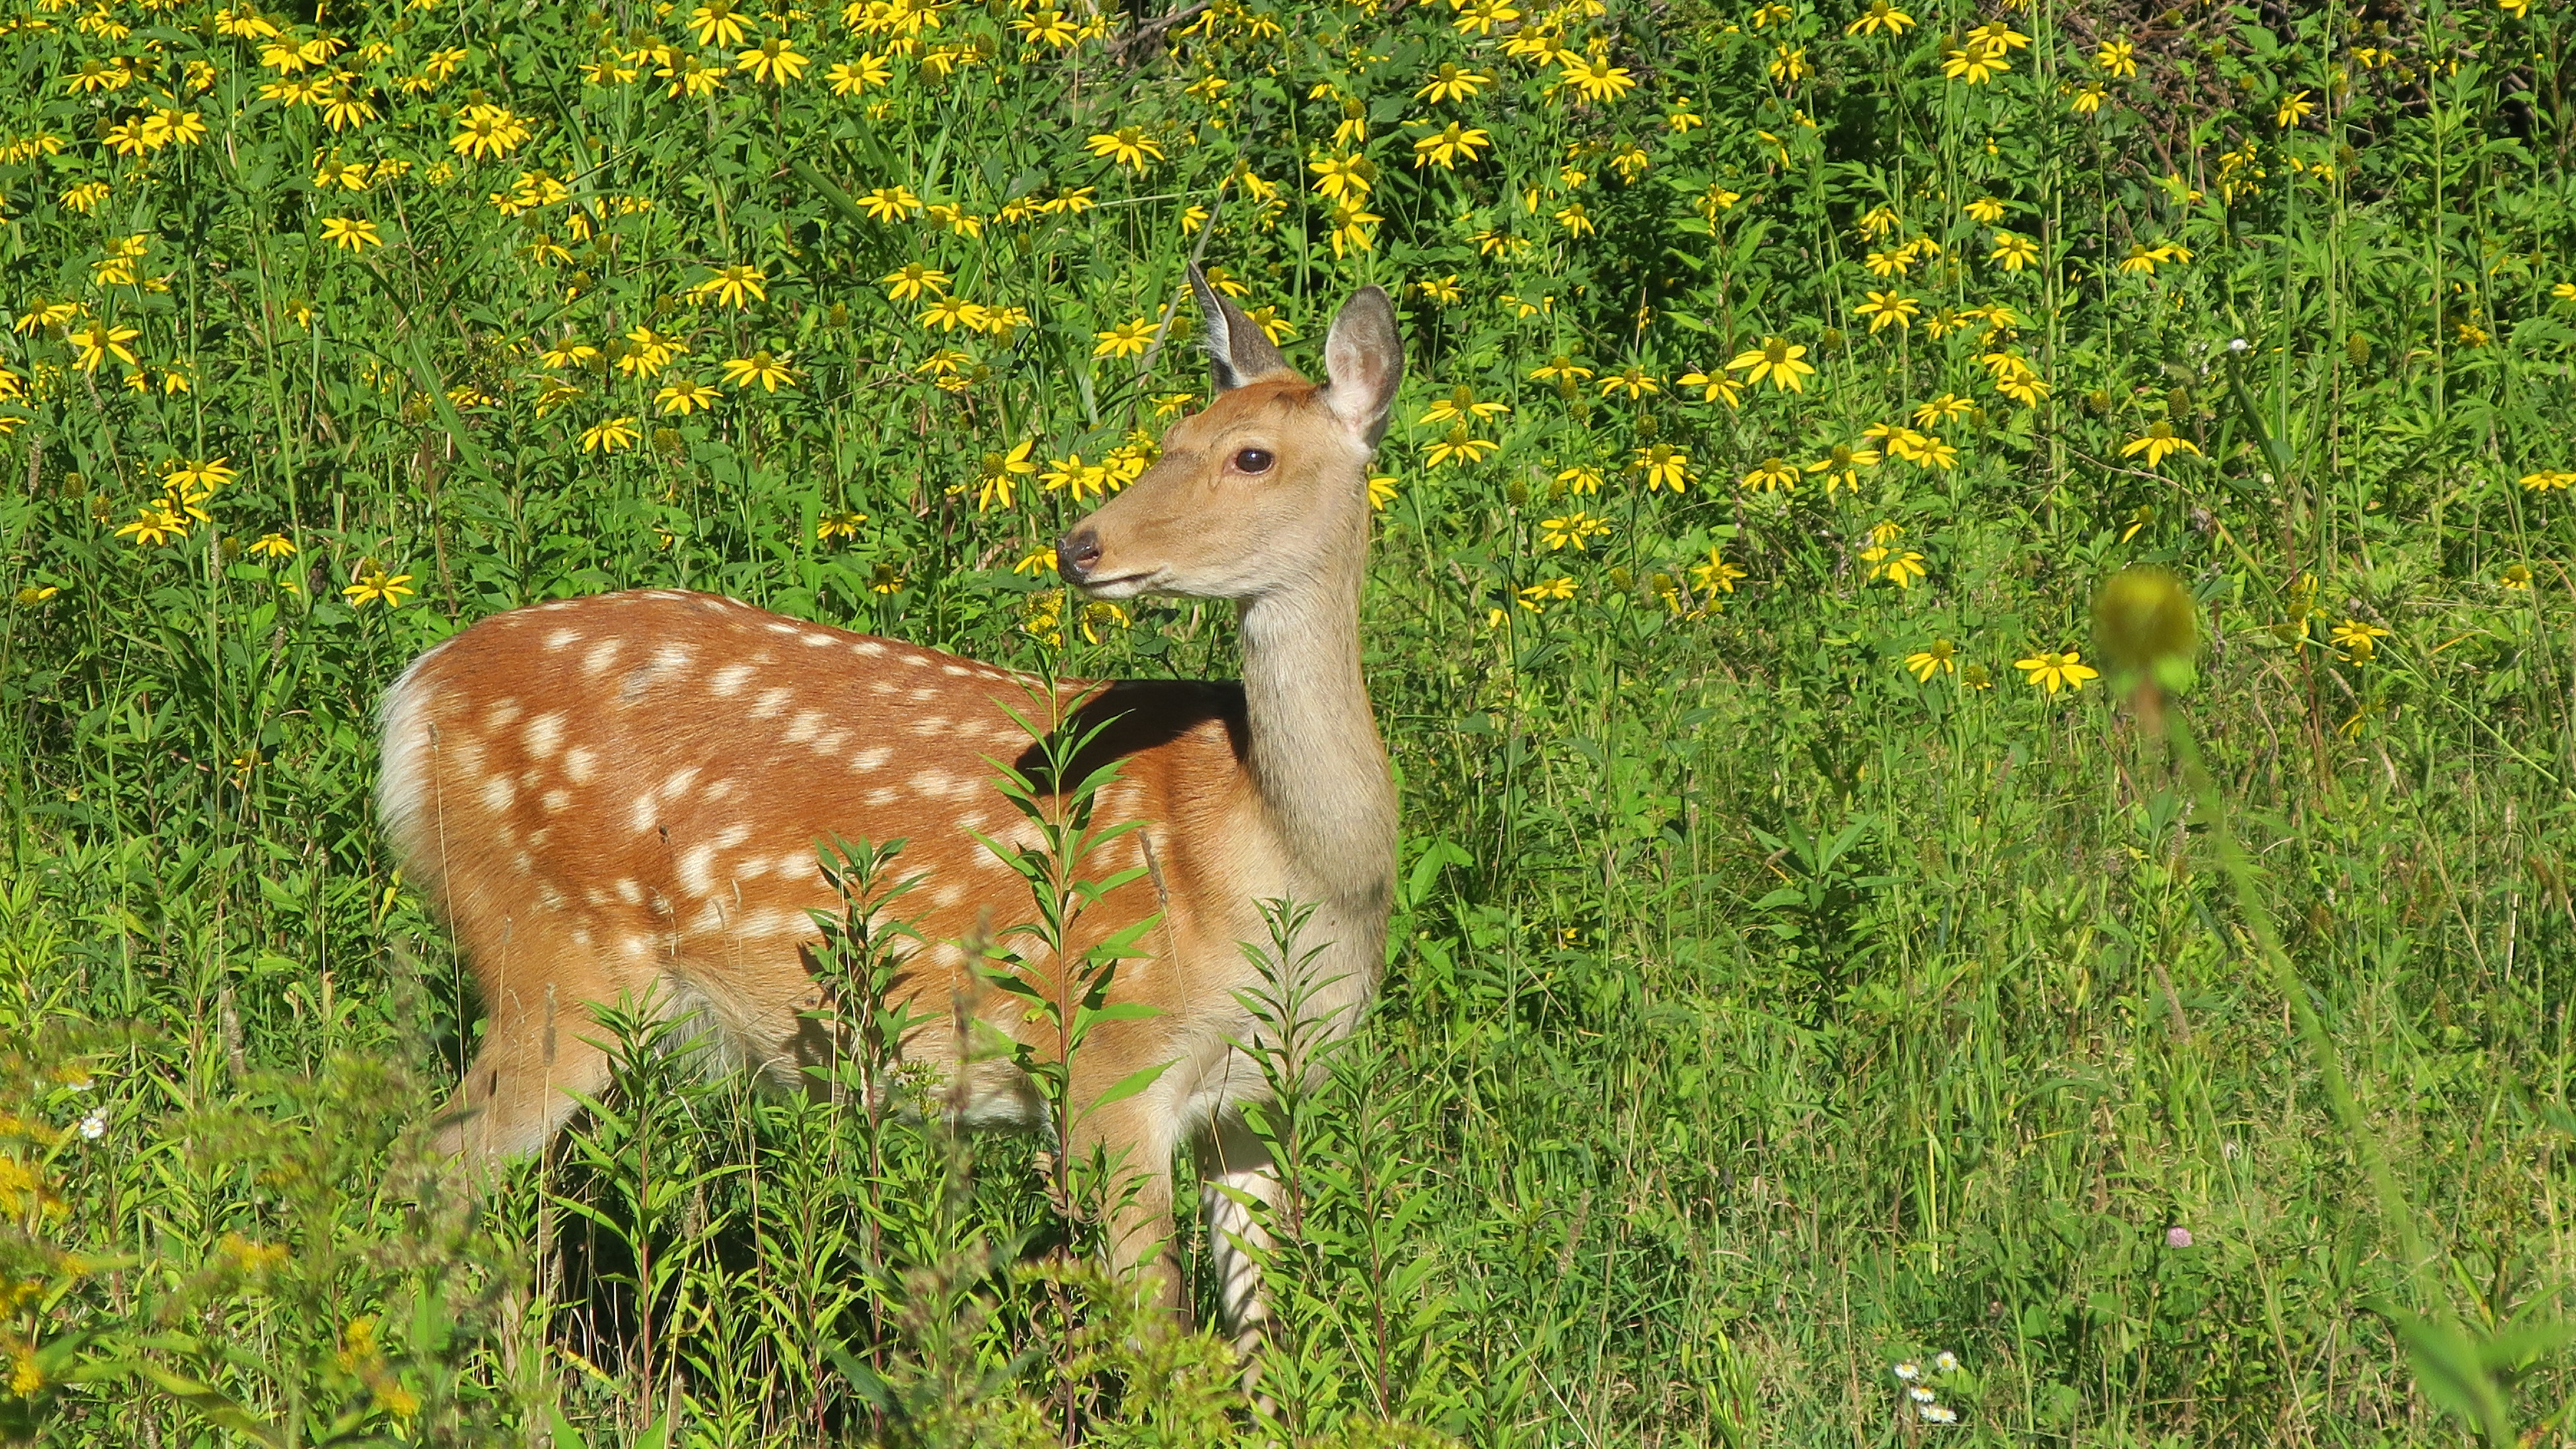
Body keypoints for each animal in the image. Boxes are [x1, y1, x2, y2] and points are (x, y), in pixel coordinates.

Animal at [373, 269, 1401, 1349]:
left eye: (1252, 454)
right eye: (1173, 437)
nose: (1080, 546)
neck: (1280, 867)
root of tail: (414, 697)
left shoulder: (1261, 1102)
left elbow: (1262, 1337)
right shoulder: (1104, 1063)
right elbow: (1161, 1333)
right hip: (548, 956)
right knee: (426, 1169)